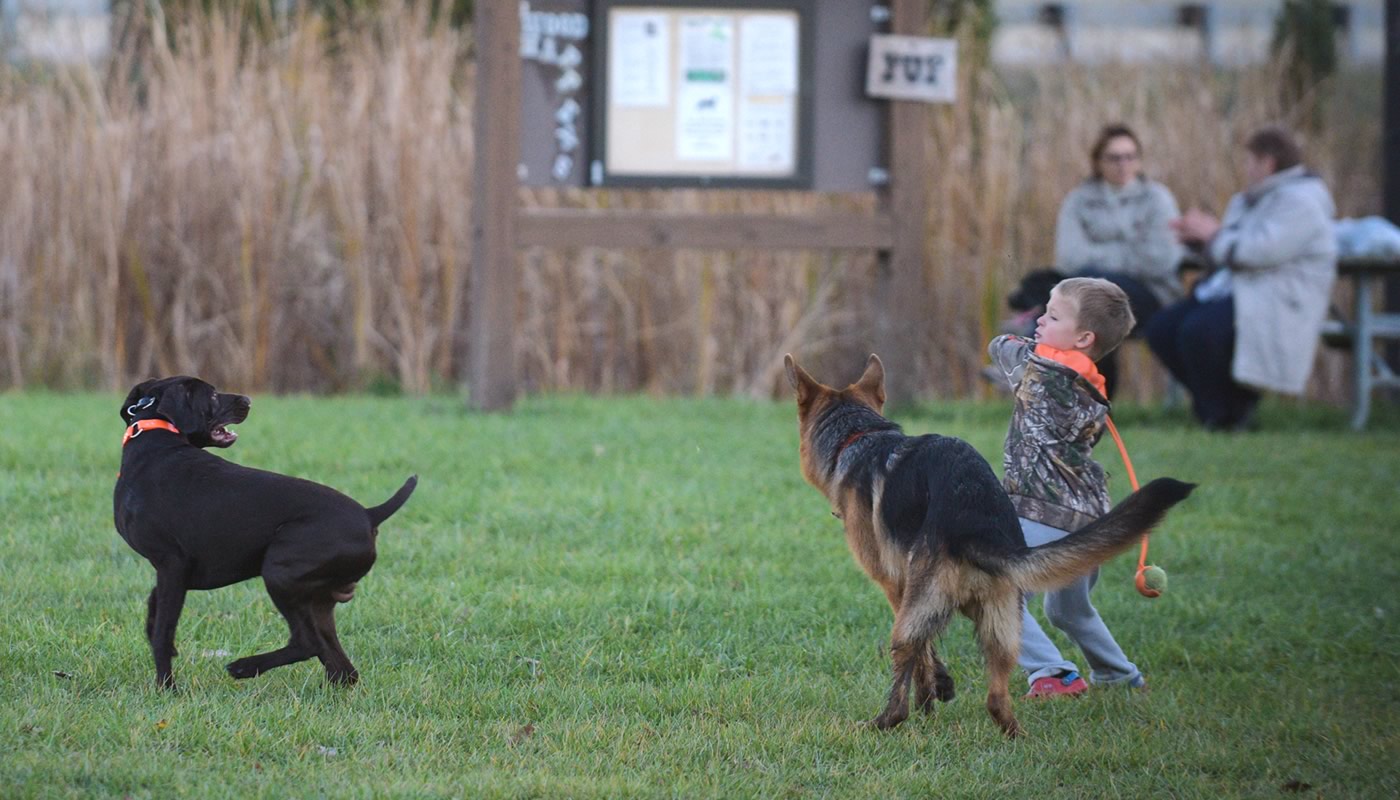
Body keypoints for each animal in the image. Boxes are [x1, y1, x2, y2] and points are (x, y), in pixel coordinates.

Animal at [113, 375, 414, 689]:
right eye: (213, 395)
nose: (248, 400)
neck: (155, 435)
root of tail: (370, 513)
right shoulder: (172, 572)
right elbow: (155, 610)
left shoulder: (172, 565)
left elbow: (163, 630)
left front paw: (167, 688)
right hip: (317, 601)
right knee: (341, 667)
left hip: (280, 574)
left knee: (307, 644)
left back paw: (244, 667)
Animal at [784, 353, 1198, 734]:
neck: (861, 436)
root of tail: (974, 523)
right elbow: (931, 655)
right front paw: (936, 694)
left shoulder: (896, 586)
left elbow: (923, 657)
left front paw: (930, 698)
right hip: (1003, 622)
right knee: (997, 699)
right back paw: (1013, 735)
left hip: (918, 613)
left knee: (906, 676)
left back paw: (880, 723)